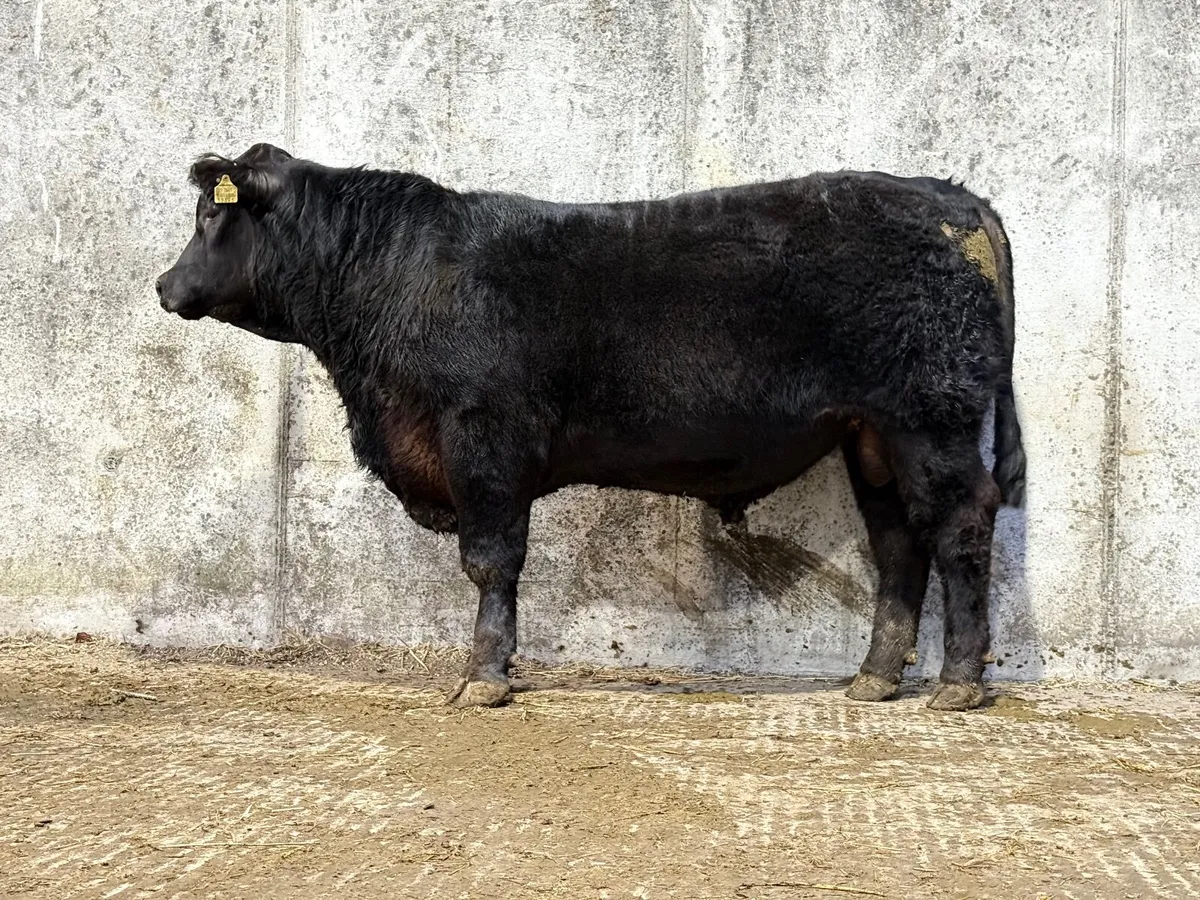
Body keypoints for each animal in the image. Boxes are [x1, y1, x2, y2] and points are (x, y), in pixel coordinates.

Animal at [157, 142, 1026, 712]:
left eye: (207, 216)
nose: (164, 285)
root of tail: (952, 197)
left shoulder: (484, 442)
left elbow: (491, 563)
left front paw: (484, 678)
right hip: (871, 437)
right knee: (899, 542)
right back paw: (874, 678)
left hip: (930, 421)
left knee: (960, 526)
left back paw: (959, 685)